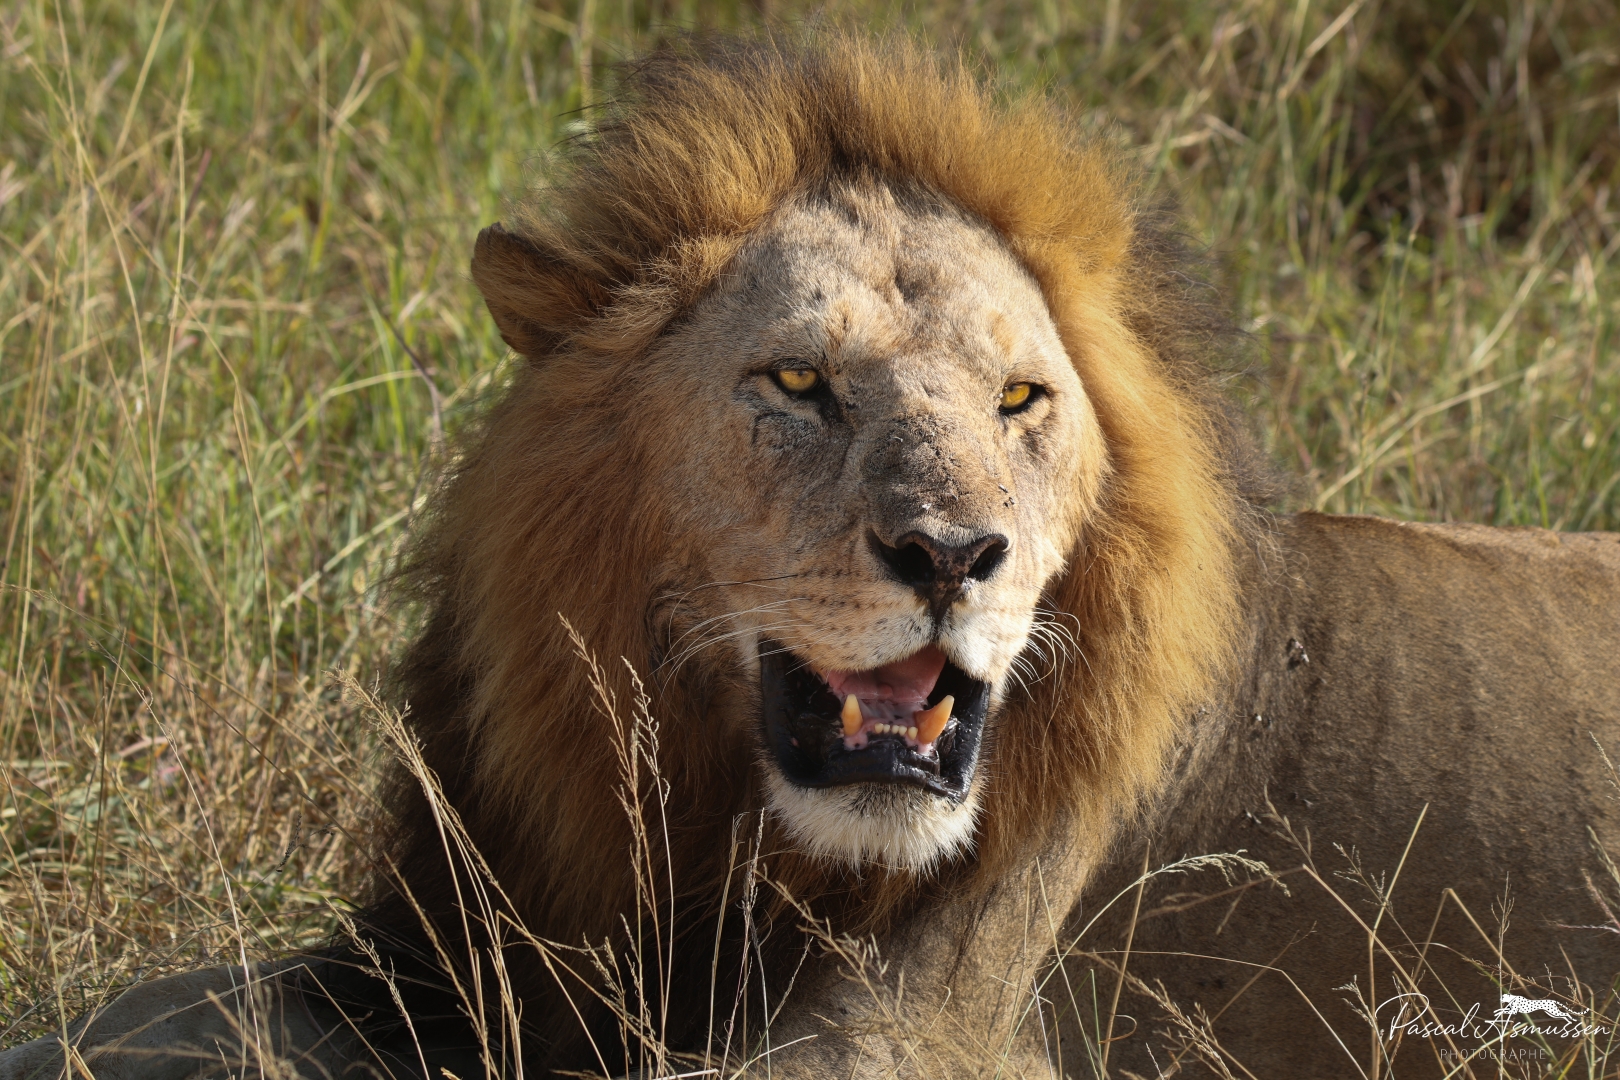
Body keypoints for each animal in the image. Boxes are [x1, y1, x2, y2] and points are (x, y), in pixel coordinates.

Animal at [4, 35, 1618, 1080]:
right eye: (798, 384)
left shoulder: (932, 1029)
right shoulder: (437, 956)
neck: (713, 821)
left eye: (1019, 402)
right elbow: (139, 1016)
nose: (956, 554)